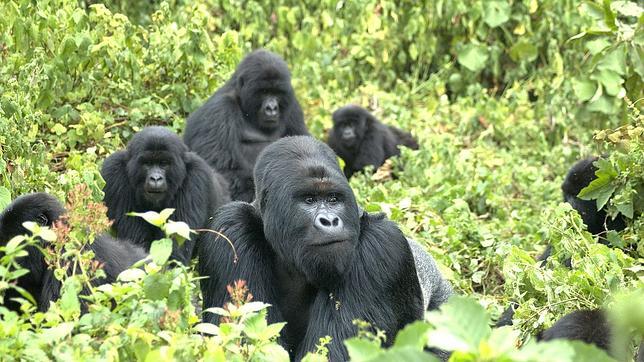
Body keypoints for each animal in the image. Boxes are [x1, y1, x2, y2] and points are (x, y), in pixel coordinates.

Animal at [101, 126, 229, 264]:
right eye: (147, 163)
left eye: (164, 163)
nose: (155, 178)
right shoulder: (113, 172)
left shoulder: (197, 176)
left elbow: (174, 254)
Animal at [184, 49, 310, 202]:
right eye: (264, 92)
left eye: (277, 92)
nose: (272, 108)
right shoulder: (219, 110)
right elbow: (224, 171)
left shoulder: (293, 106)